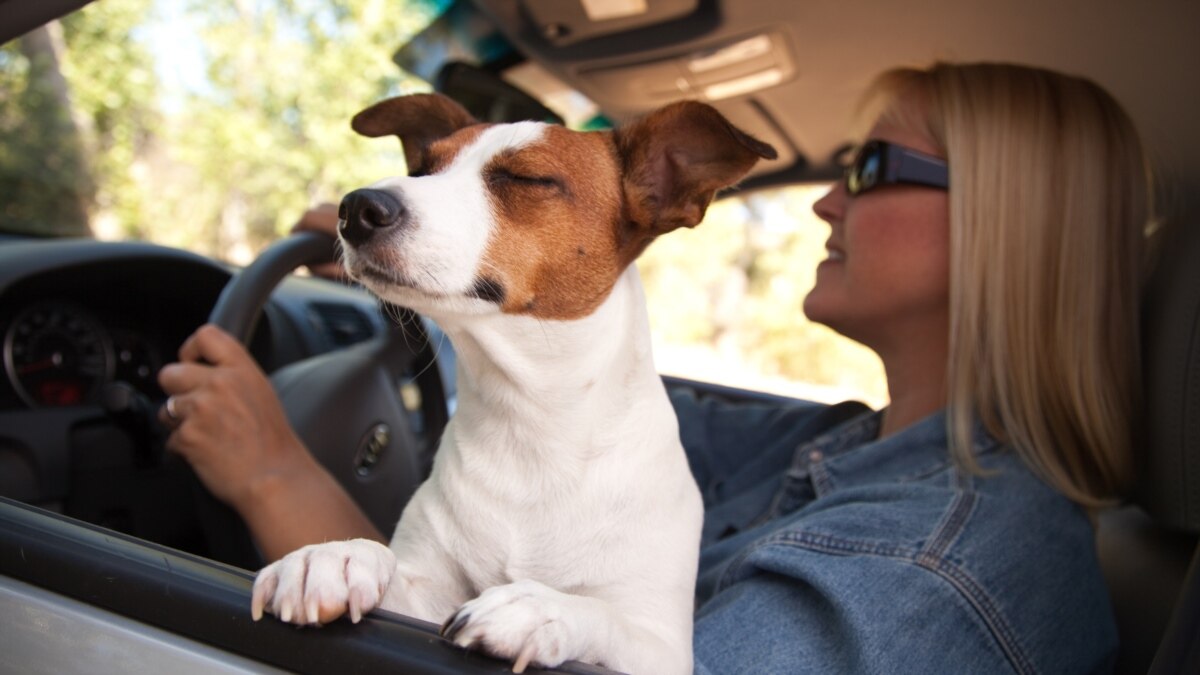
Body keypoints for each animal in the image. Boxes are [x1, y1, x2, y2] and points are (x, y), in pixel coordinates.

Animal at [250, 91, 777, 667]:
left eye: (525, 178)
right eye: (421, 168)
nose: (355, 209)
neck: (531, 424)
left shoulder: (663, 649)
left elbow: (605, 616)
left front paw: (541, 608)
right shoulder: (422, 597)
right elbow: (383, 566)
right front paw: (333, 557)